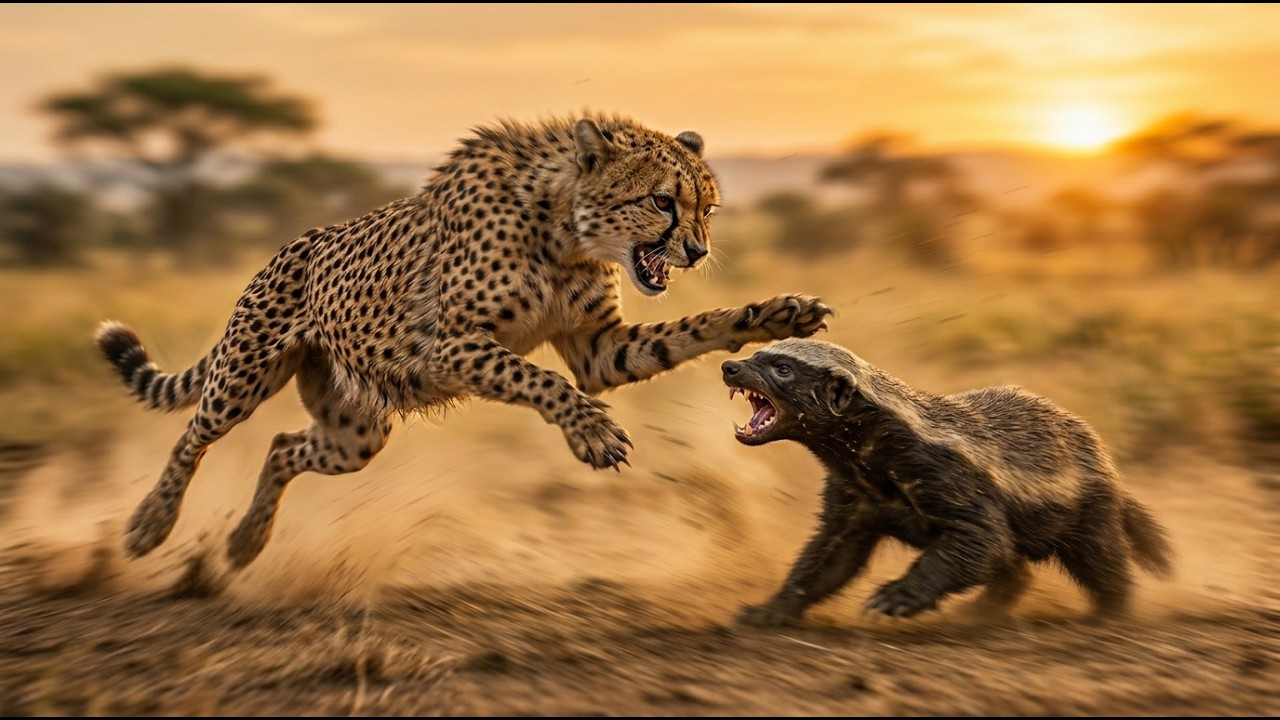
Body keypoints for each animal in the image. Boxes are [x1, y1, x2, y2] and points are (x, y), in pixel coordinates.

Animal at [95, 112, 833, 569]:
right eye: (661, 201)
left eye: (709, 207)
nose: (698, 250)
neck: (566, 232)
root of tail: (286, 247)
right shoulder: (447, 345)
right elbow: (544, 380)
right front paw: (593, 434)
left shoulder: (600, 350)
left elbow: (693, 328)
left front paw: (777, 313)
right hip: (247, 373)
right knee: (194, 434)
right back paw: (149, 524)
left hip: (357, 431)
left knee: (280, 447)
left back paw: (247, 543)